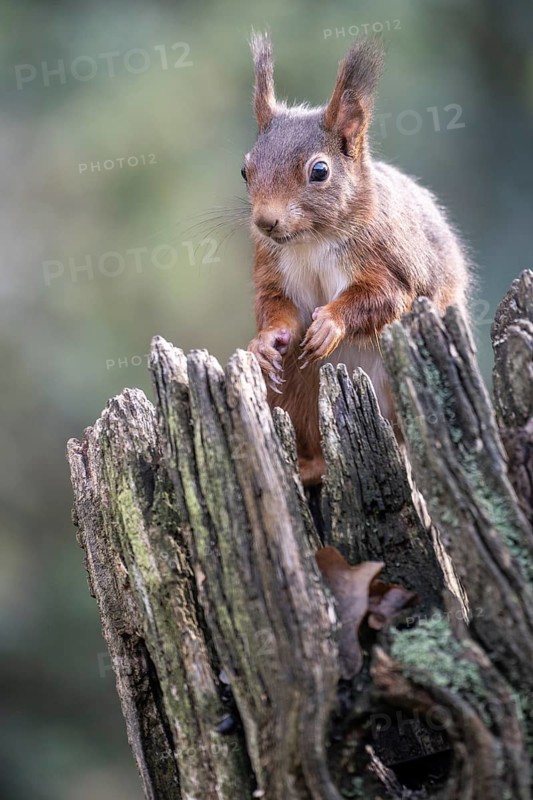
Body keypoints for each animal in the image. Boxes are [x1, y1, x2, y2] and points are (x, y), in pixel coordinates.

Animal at [245, 33, 471, 486]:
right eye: (245, 171)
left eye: (319, 171)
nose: (265, 221)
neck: (311, 241)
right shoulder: (272, 265)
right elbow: (277, 306)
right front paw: (266, 341)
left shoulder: (390, 258)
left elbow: (387, 297)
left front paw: (330, 323)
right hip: (295, 388)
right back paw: (310, 465)